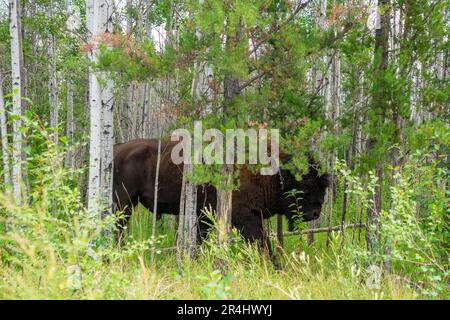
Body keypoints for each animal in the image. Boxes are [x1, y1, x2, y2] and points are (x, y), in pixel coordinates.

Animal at [113, 139, 330, 244]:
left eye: (323, 186)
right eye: (306, 185)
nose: (316, 212)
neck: (272, 175)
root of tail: (117, 149)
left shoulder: (205, 215)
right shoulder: (244, 216)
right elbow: (261, 242)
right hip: (123, 203)